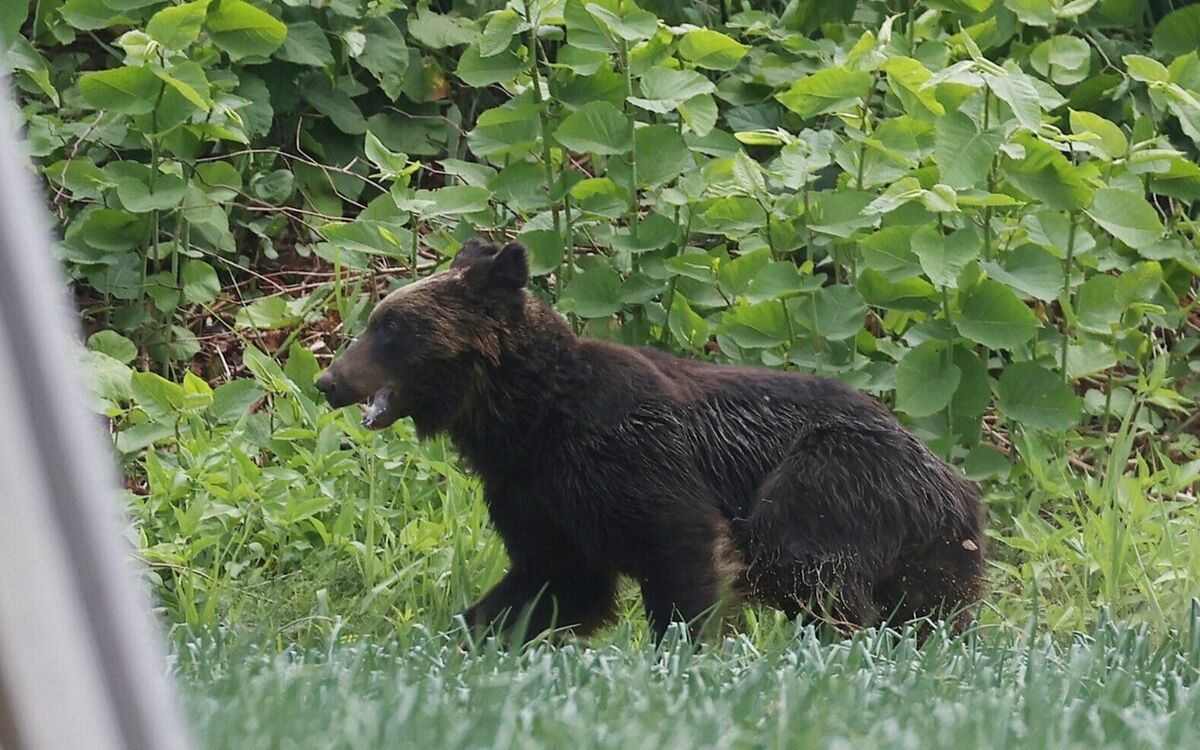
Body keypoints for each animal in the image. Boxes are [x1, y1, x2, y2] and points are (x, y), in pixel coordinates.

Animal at [315, 238, 987, 643]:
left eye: (391, 326)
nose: (327, 380)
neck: (526, 419)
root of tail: (955, 481)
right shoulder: (534, 492)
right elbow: (553, 580)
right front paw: (470, 632)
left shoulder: (628, 454)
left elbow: (679, 545)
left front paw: (681, 648)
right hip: (935, 550)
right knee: (930, 609)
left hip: (836, 474)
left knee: (802, 562)